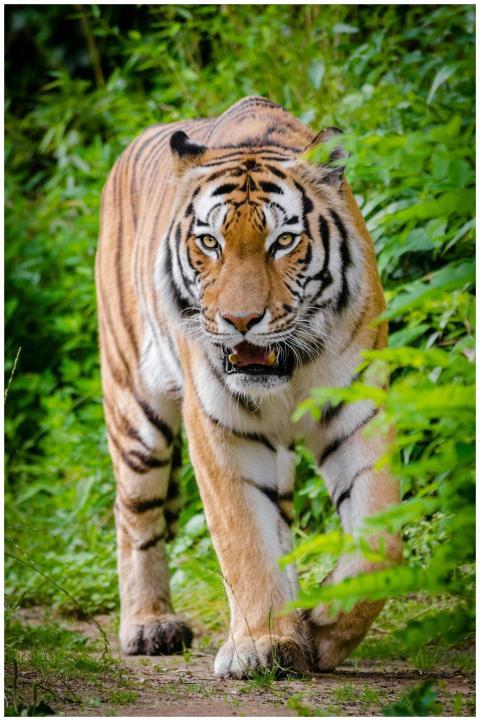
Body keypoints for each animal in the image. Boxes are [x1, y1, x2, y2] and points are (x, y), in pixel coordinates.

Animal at [96, 96, 401, 678]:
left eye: (283, 241)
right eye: (209, 242)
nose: (240, 321)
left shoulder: (357, 410)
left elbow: (380, 540)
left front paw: (321, 629)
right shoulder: (221, 425)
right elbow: (243, 537)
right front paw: (261, 645)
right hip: (135, 410)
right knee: (136, 514)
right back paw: (149, 626)